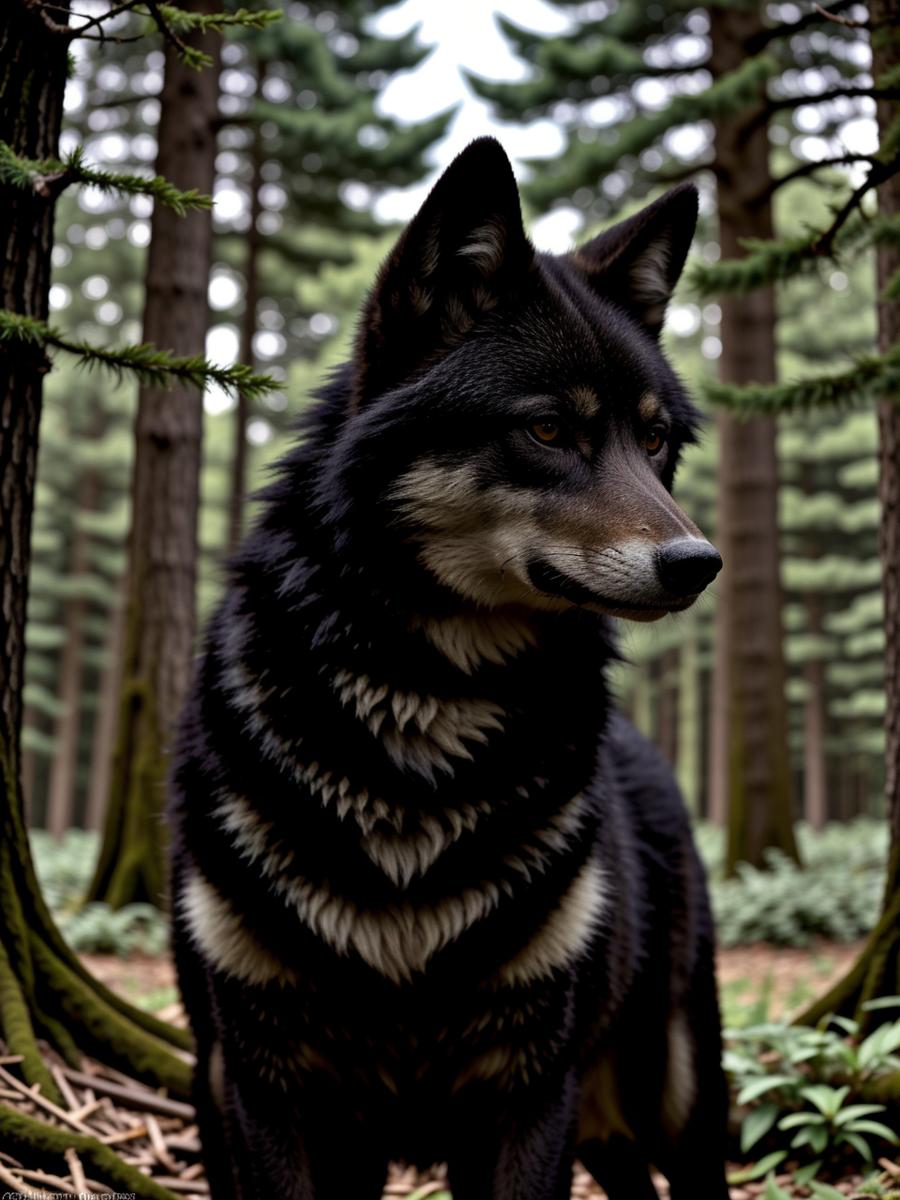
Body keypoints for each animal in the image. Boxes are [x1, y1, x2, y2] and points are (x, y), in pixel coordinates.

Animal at [168, 137, 728, 1200]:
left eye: (653, 440)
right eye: (547, 430)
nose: (698, 564)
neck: (425, 706)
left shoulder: (529, 1089)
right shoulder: (270, 1092)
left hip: (674, 1090)